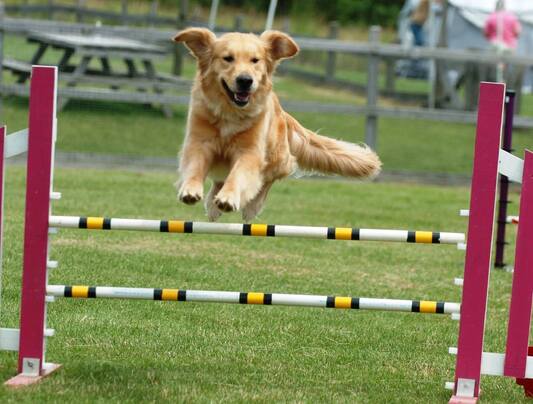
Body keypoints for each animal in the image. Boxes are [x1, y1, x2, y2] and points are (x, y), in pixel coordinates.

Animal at [172, 28, 380, 223]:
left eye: (255, 60)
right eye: (227, 58)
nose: (245, 80)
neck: (230, 113)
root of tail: (283, 114)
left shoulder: (250, 152)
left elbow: (238, 175)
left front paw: (229, 198)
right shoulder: (199, 142)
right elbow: (194, 167)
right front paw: (190, 190)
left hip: (277, 156)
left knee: (269, 178)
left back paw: (250, 207)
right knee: (221, 180)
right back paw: (212, 205)